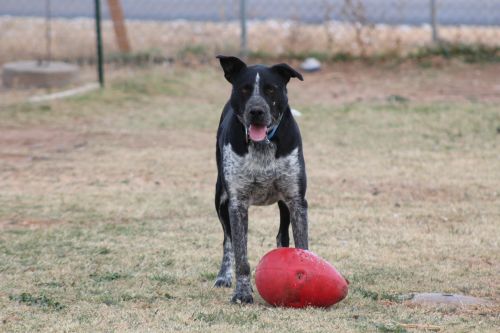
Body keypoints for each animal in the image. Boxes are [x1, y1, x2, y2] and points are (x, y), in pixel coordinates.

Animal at [212, 55, 306, 304]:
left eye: (271, 89)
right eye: (244, 89)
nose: (256, 111)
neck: (262, 144)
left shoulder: (296, 200)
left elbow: (302, 246)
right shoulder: (237, 204)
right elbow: (241, 256)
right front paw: (242, 293)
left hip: (283, 203)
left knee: (282, 235)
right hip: (220, 199)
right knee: (228, 241)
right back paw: (224, 276)